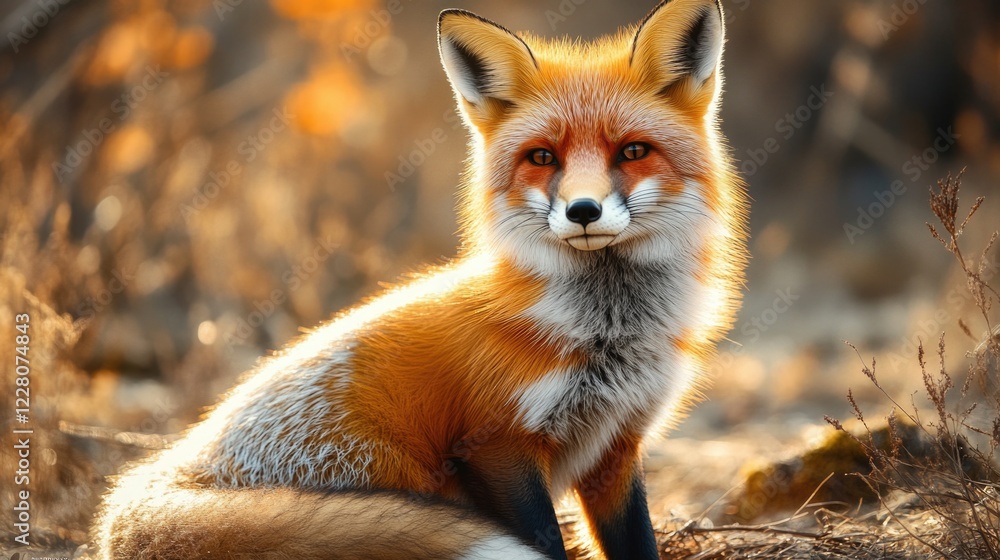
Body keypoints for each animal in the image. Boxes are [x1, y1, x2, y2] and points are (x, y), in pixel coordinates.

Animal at [92, 1, 747, 559]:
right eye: (542, 157)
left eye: (633, 151)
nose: (582, 210)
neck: (607, 334)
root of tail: (160, 470)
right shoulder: (496, 444)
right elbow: (544, 541)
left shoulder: (615, 446)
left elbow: (637, 543)